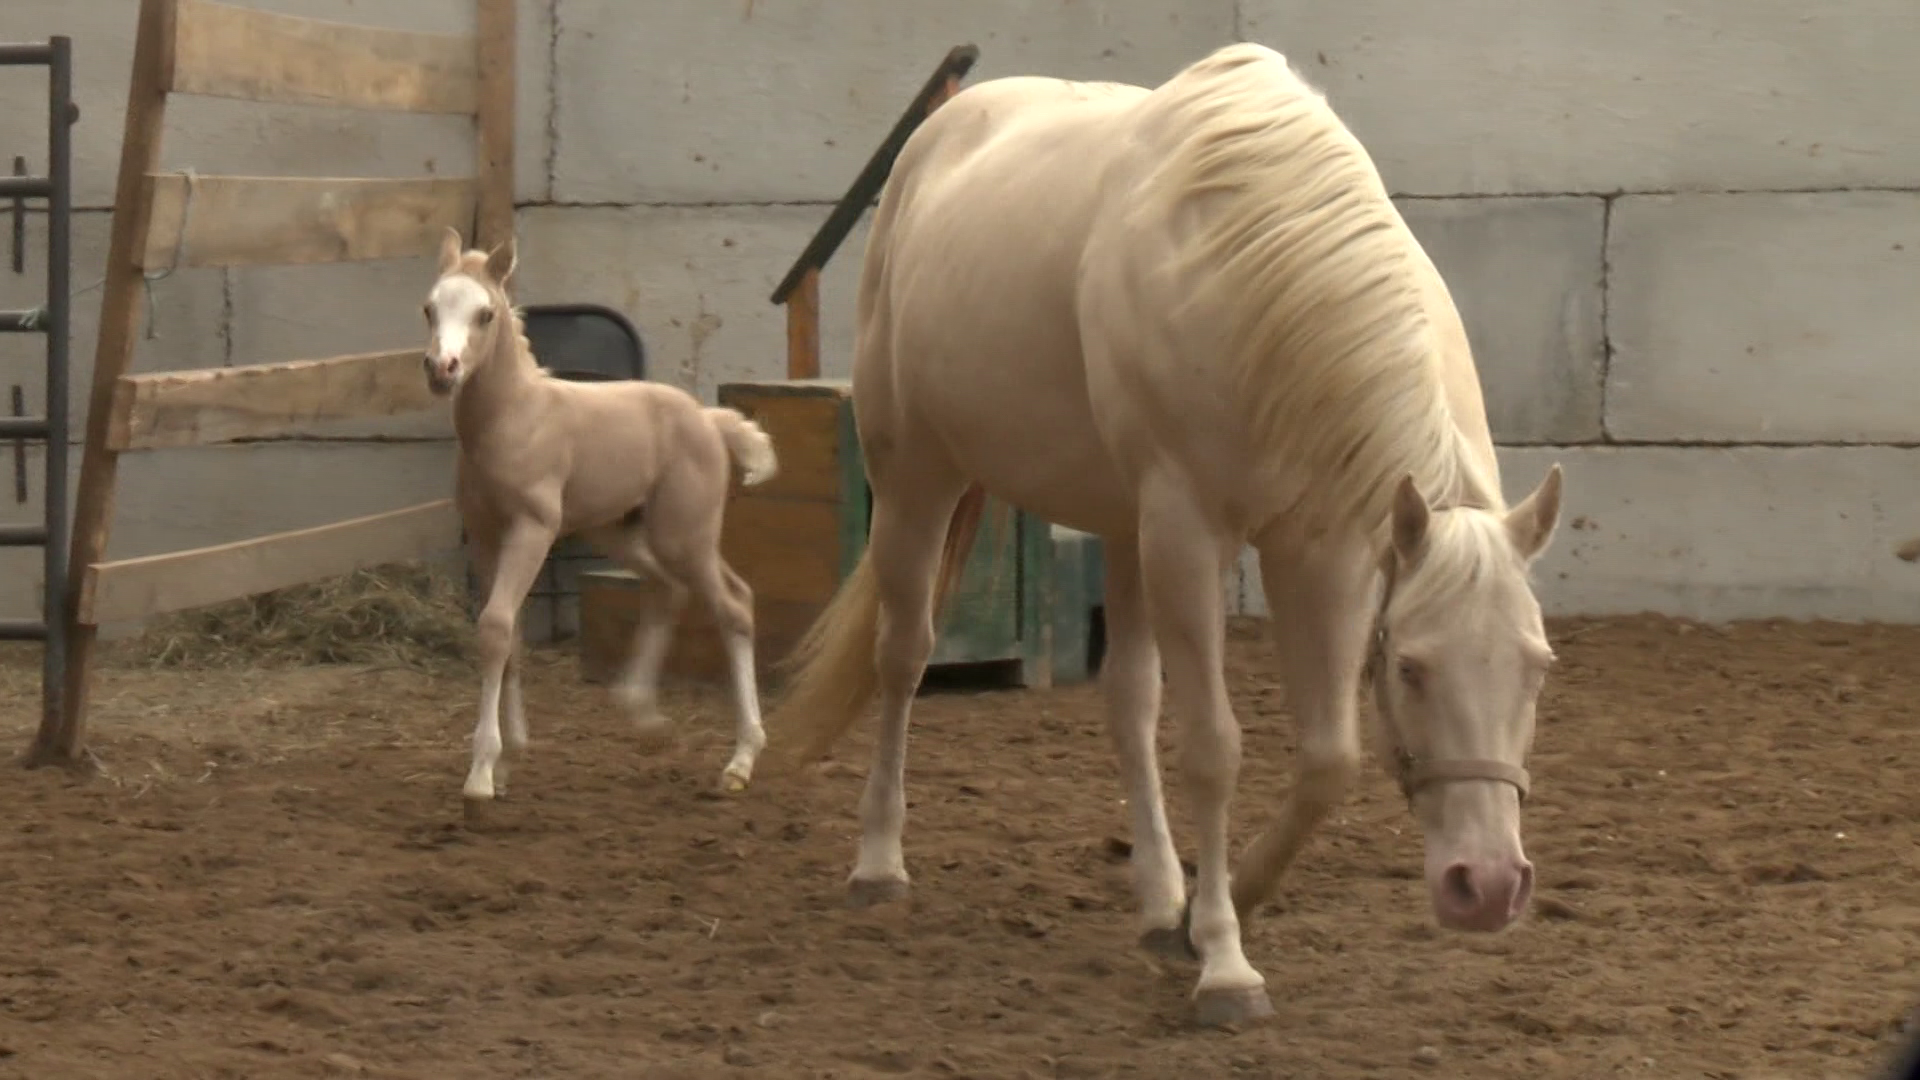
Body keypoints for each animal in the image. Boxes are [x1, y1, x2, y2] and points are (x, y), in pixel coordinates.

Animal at [421, 227, 780, 807]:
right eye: (430, 308)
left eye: (485, 314)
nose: (441, 369)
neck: (512, 418)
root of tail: (708, 419)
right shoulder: (486, 536)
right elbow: (510, 635)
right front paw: (507, 761)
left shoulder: (532, 529)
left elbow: (495, 627)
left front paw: (481, 772)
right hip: (621, 532)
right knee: (668, 590)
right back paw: (644, 715)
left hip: (684, 534)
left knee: (734, 605)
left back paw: (740, 760)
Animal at [764, 43, 1567, 1028]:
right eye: (1412, 669)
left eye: (1538, 667)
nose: (1486, 886)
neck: (1261, 272)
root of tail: (933, 144)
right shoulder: (1189, 534)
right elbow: (1214, 749)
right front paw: (1224, 963)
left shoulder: (1325, 548)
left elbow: (1328, 758)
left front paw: (1208, 915)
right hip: (918, 475)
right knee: (903, 656)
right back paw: (879, 863)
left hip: (1121, 526)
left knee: (1127, 702)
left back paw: (1157, 898)